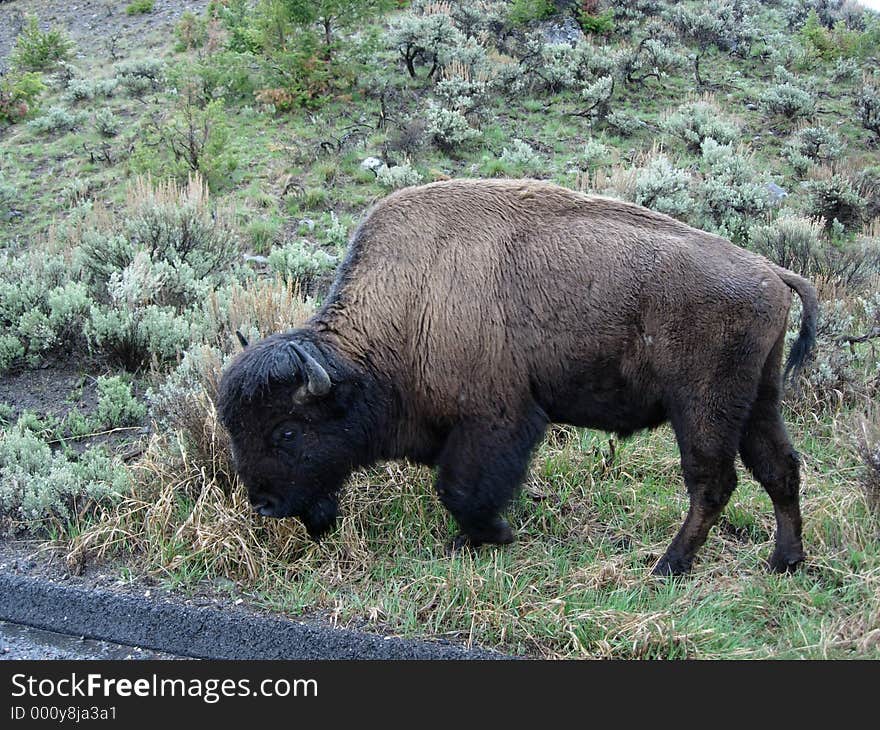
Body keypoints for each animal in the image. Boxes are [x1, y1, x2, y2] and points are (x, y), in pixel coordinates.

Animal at [218, 178, 820, 576]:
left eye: (287, 430)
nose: (262, 503)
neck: (406, 307)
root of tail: (772, 271)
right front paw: (473, 540)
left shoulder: (497, 417)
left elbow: (459, 489)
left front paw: (493, 536)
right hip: (758, 399)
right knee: (779, 468)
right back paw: (785, 561)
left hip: (701, 407)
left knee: (712, 482)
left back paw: (669, 565)